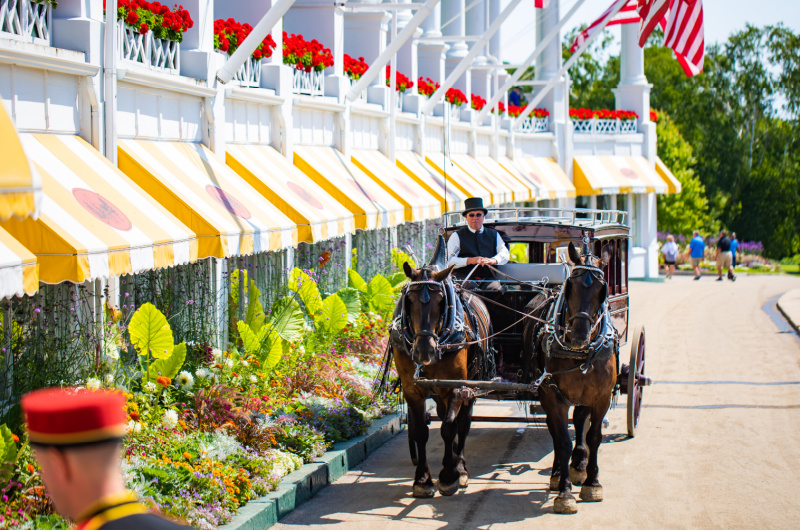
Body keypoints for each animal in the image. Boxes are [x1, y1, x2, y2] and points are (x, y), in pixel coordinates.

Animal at [394, 262, 494, 498]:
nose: (424, 351)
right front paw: (422, 480)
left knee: (463, 423)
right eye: (408, 300)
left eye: (441, 302)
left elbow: (449, 428)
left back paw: (461, 467)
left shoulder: (454, 388)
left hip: (471, 384)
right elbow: (420, 432)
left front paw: (450, 476)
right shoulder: (412, 390)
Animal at [520, 241, 616, 510]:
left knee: (581, 419)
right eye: (570, 285)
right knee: (555, 430)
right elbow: (562, 440)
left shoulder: (602, 397)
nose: (580, 336)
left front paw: (592, 483)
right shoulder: (553, 395)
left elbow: (594, 436)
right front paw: (564, 492)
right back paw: (557, 474)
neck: (581, 354)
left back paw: (580, 465)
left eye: (603, 289)